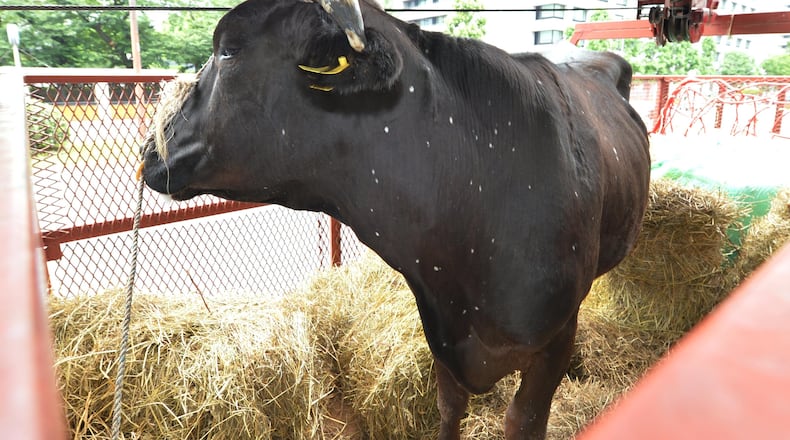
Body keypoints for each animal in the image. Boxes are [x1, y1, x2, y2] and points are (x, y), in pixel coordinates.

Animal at [141, 0, 650, 438]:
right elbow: (450, 407)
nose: (149, 149)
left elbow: (522, 420)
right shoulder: (440, 328)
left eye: (227, 49)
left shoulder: (554, 340)